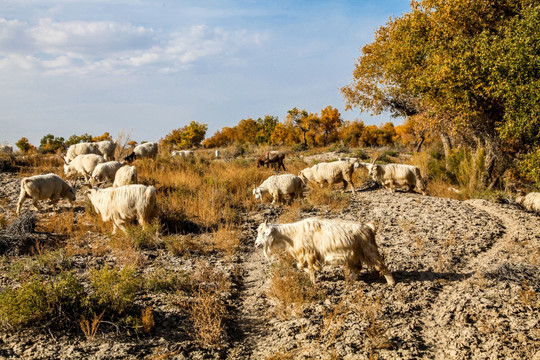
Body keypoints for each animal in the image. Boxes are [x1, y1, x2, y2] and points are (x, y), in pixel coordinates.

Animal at [255, 218, 394, 286]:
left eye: (265, 233)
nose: (256, 244)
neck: (293, 234)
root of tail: (368, 227)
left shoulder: (309, 254)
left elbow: (310, 268)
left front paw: (313, 281)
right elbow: (300, 266)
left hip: (369, 250)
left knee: (381, 266)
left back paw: (391, 283)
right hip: (354, 255)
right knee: (358, 267)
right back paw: (349, 281)